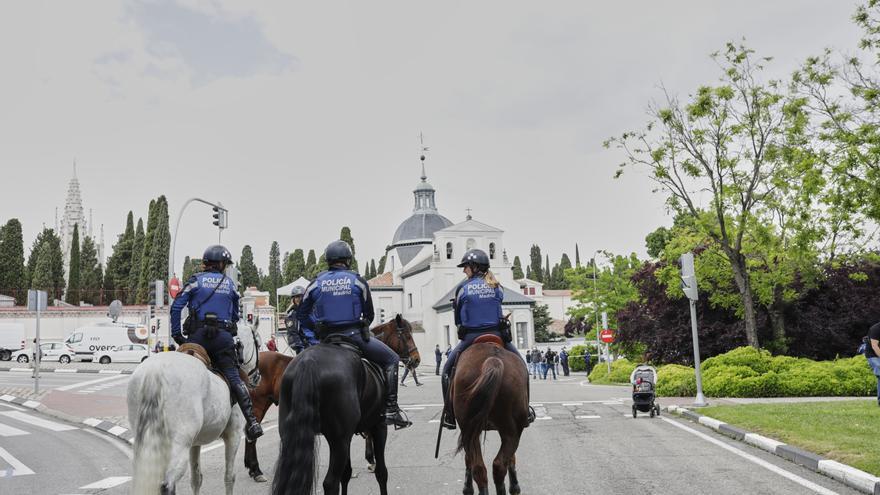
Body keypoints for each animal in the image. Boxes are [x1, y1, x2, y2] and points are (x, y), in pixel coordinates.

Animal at [126, 326, 262, 495]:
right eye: (259, 343)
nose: (257, 377)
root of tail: (155, 371)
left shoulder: (195, 444)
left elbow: (196, 479)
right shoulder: (234, 435)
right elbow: (229, 477)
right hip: (179, 445)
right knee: (167, 485)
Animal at [241, 316, 420, 482]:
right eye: (406, 335)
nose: (416, 359)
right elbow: (369, 433)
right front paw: (371, 459)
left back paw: (251, 468)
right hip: (258, 404)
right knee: (252, 434)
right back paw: (256, 470)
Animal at [454, 336, 528, 495]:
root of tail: (493, 360)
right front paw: (515, 486)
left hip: (471, 429)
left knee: (480, 467)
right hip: (511, 430)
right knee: (497, 465)